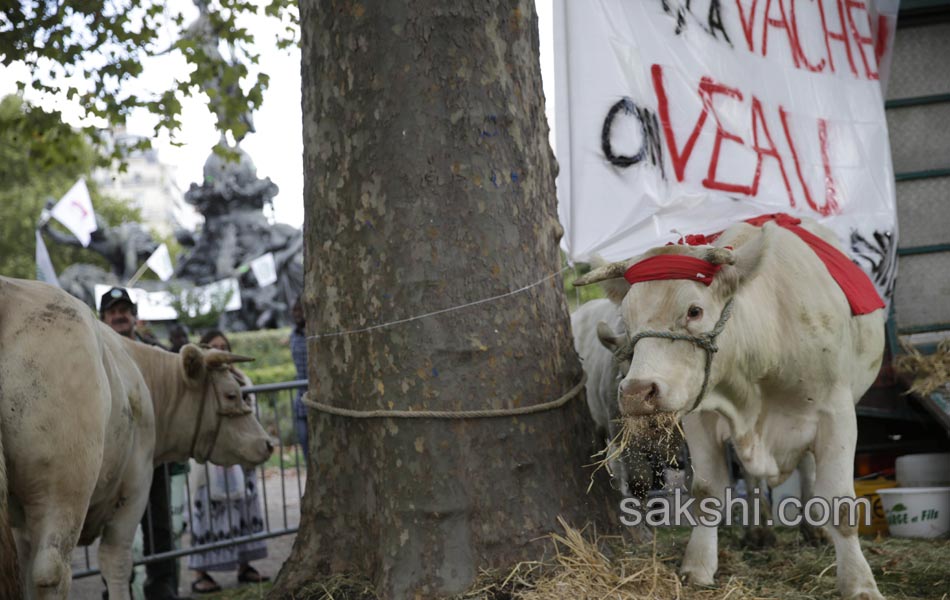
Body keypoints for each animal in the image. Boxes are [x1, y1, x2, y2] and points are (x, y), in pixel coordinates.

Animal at [0, 278, 276, 600]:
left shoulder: (21, 521)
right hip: (64, 486)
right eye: (232, 394)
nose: (268, 443)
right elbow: (118, 562)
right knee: (50, 571)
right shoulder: (136, 486)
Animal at [576, 219, 888, 600]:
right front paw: (698, 566)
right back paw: (759, 530)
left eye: (694, 311)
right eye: (627, 317)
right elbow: (706, 492)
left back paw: (813, 529)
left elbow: (841, 502)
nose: (637, 392)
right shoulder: (701, 417)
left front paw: (859, 582)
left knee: (808, 469)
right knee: (754, 477)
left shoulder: (837, 414)